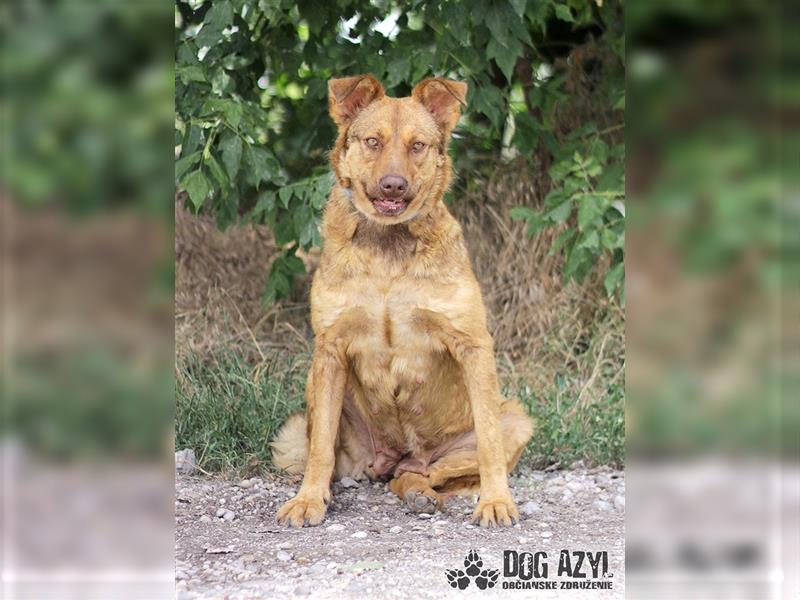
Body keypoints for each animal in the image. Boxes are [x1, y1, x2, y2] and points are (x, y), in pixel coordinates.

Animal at [272, 76, 536, 528]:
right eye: (373, 141)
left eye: (418, 145)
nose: (393, 185)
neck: (389, 247)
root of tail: (397, 457)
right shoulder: (329, 349)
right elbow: (321, 445)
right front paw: (308, 500)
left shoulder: (473, 345)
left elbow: (489, 443)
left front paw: (496, 501)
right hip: (312, 396)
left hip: (514, 420)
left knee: (426, 472)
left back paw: (421, 492)